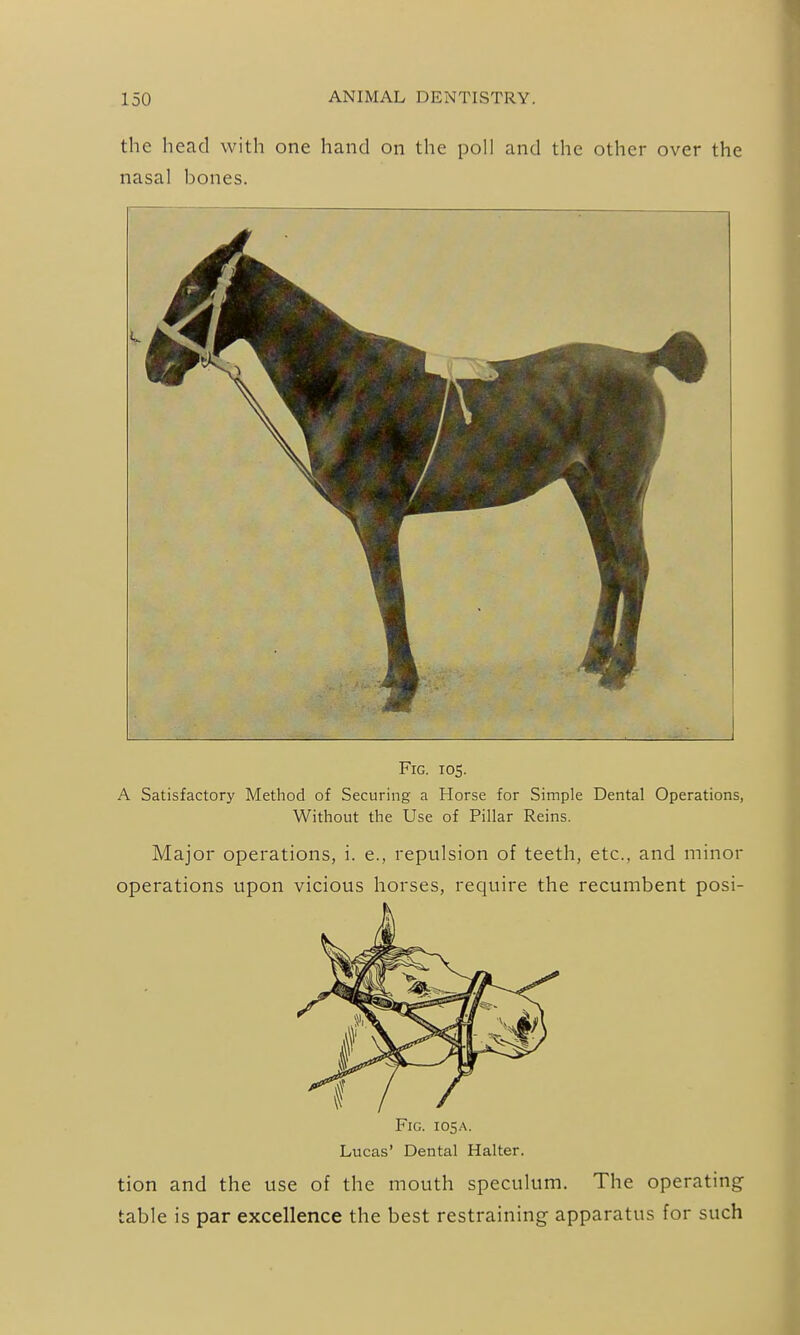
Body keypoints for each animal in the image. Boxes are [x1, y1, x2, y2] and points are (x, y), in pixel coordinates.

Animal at [145, 228, 707, 712]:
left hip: (621, 487)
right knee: (610, 567)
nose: (153, 361)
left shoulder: (377, 516)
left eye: (192, 286)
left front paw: (403, 690)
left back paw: (618, 669)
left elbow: (391, 596)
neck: (342, 379)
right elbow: (383, 595)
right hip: (585, 484)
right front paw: (392, 678)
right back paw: (593, 659)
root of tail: (643, 360)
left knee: (635, 567)